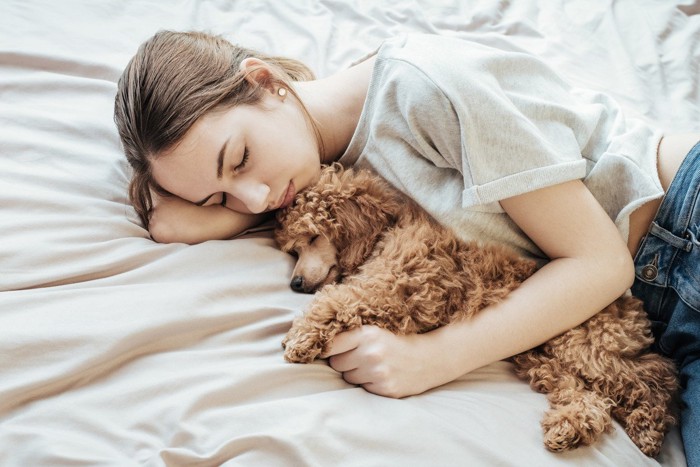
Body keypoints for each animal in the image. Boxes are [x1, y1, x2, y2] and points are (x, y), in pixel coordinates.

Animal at [274, 165, 680, 458]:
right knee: (590, 396)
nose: (294, 283)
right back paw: (569, 427)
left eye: (313, 237)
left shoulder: (392, 290)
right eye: (293, 249)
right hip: (543, 358)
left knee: (655, 376)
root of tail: (632, 312)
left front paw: (302, 336)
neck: (386, 232)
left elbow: (336, 299)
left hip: (581, 346)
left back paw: (647, 426)